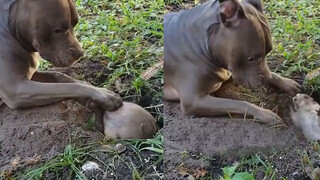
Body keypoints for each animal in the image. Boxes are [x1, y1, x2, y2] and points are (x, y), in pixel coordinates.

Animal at [164, 0, 302, 124]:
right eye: (251, 58)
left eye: (268, 52)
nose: (266, 80)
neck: (203, 44)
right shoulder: (193, 100)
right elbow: (238, 103)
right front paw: (264, 113)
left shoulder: (230, 71)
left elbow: (272, 73)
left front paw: (286, 82)